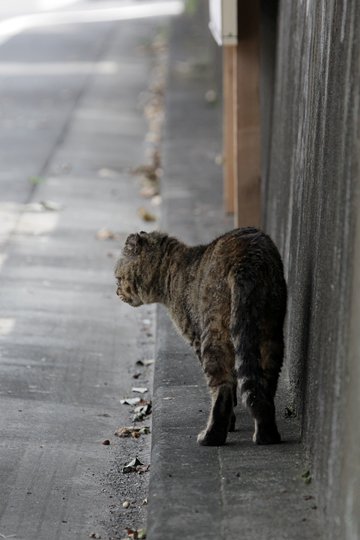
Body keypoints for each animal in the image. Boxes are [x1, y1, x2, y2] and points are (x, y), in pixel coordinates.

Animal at [115, 228, 286, 448]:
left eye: (118, 278)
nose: (117, 292)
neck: (171, 271)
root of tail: (245, 258)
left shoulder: (195, 337)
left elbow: (229, 391)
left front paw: (230, 423)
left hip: (215, 334)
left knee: (222, 389)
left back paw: (211, 437)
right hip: (270, 330)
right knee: (264, 386)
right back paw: (267, 434)